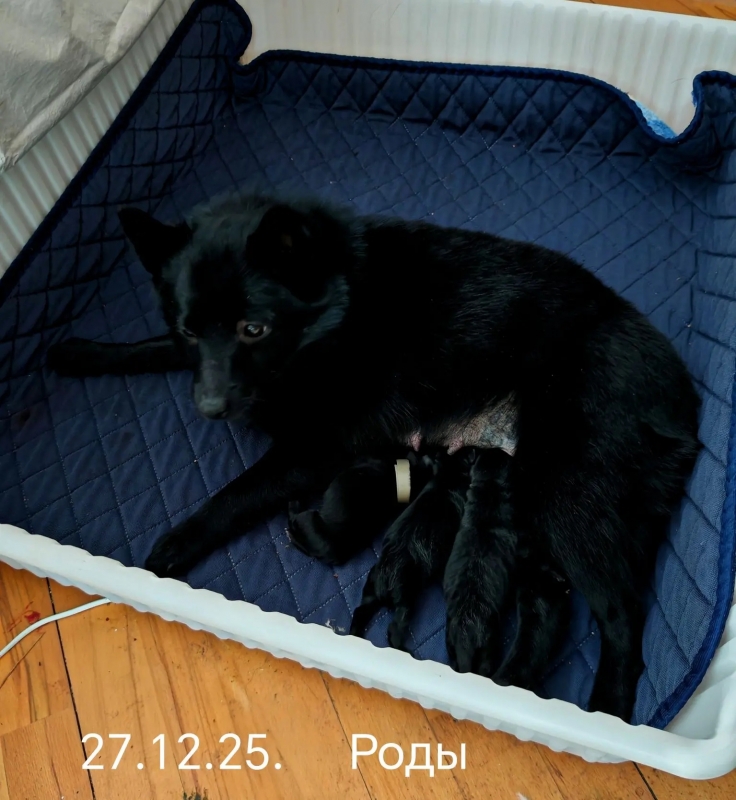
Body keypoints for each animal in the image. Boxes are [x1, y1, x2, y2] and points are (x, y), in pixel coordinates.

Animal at [47, 192, 701, 719]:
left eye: (253, 328)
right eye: (189, 328)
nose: (209, 409)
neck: (333, 311)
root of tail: (683, 398)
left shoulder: (309, 452)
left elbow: (229, 499)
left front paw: (169, 552)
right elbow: (150, 347)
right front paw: (83, 352)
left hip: (564, 496)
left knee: (622, 619)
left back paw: (605, 713)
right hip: (536, 516)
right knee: (549, 607)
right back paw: (511, 684)